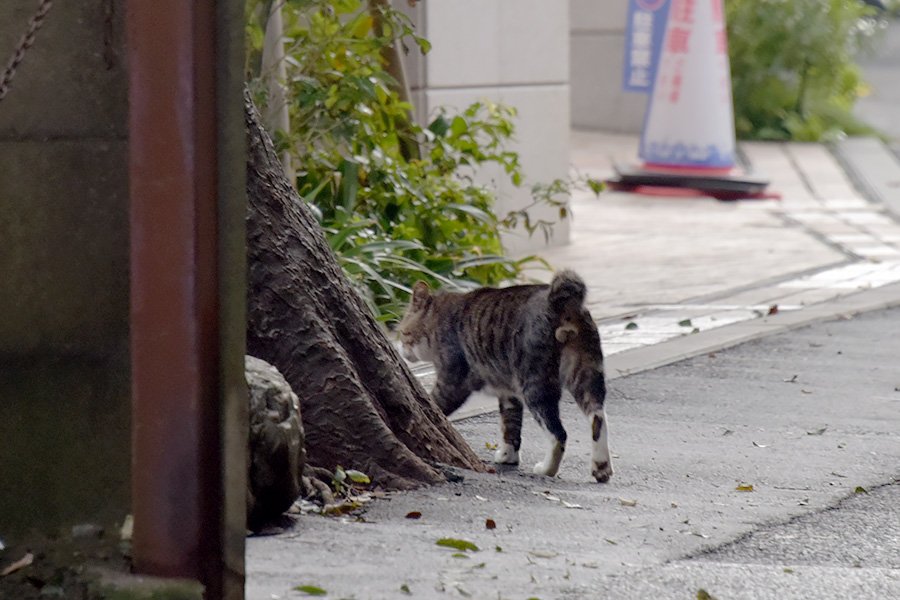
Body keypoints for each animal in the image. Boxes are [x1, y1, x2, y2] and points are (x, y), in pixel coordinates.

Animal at [400, 272, 612, 482]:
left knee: (558, 434)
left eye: (402, 333)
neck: (439, 317)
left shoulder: (453, 381)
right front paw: (507, 456)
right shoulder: (508, 392)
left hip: (535, 383)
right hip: (584, 369)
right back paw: (601, 468)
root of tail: (558, 301)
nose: (401, 350)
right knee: (598, 418)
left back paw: (546, 469)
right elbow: (510, 424)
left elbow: (434, 404)